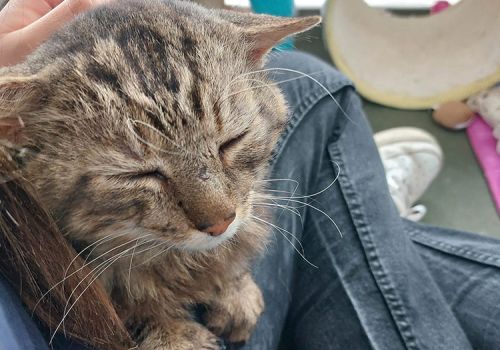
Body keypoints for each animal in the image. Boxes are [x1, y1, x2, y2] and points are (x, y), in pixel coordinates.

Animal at [0, 1, 320, 348]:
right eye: (137, 175)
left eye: (232, 142)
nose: (220, 223)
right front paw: (173, 333)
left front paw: (235, 287)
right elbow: (127, 308)